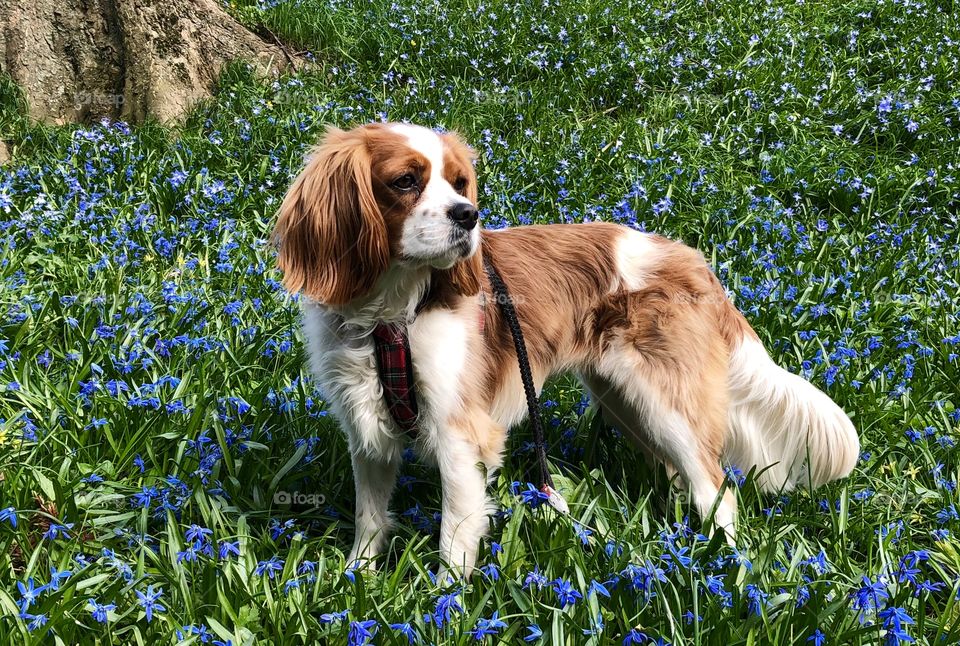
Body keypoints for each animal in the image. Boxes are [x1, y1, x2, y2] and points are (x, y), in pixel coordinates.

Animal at [272, 121, 864, 584]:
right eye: (405, 181)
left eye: (460, 183)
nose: (468, 215)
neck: (391, 316)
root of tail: (691, 260)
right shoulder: (366, 433)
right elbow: (370, 520)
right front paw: (356, 582)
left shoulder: (461, 435)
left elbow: (454, 536)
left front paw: (445, 605)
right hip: (628, 402)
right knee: (683, 478)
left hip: (665, 402)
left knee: (716, 488)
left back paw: (726, 567)